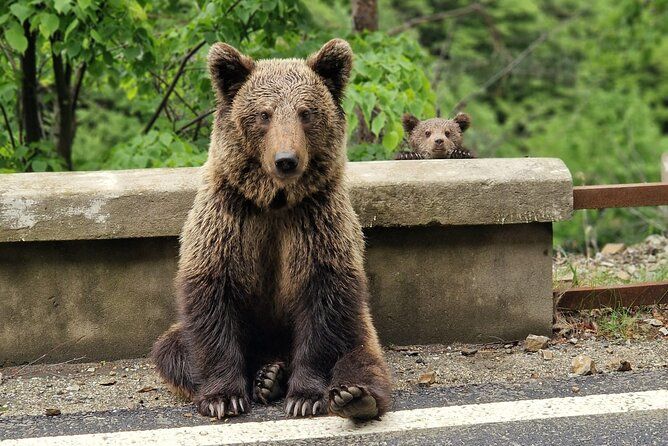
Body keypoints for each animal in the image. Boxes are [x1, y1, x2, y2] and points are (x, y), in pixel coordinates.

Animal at [151, 39, 391, 421]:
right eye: (264, 114)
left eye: (306, 112)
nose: (286, 160)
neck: (275, 203)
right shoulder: (230, 220)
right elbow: (212, 299)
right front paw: (223, 397)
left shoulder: (316, 223)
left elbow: (323, 301)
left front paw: (306, 396)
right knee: (172, 349)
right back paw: (267, 376)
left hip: (360, 325)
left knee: (362, 355)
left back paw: (350, 394)